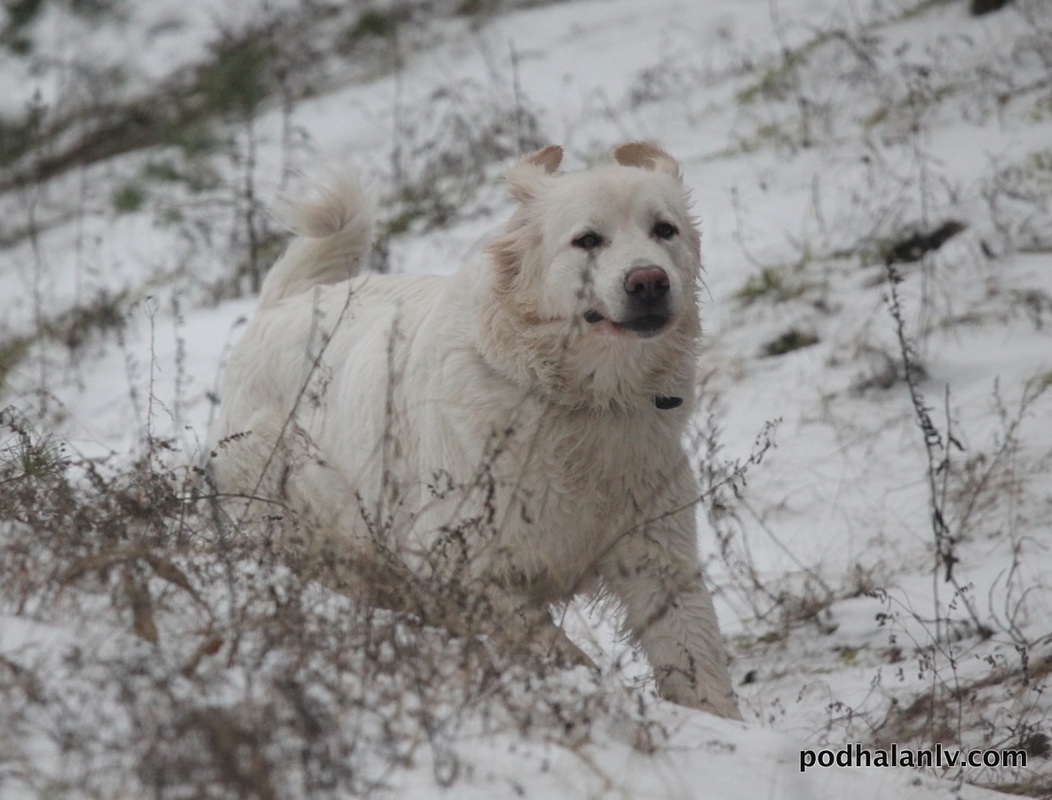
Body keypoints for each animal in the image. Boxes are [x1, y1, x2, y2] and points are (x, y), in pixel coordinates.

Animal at [211, 142, 740, 720]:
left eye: (664, 230)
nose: (648, 282)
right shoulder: (449, 562)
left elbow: (696, 660)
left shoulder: (658, 558)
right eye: (587, 239)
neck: (580, 399)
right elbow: (550, 646)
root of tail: (279, 305)